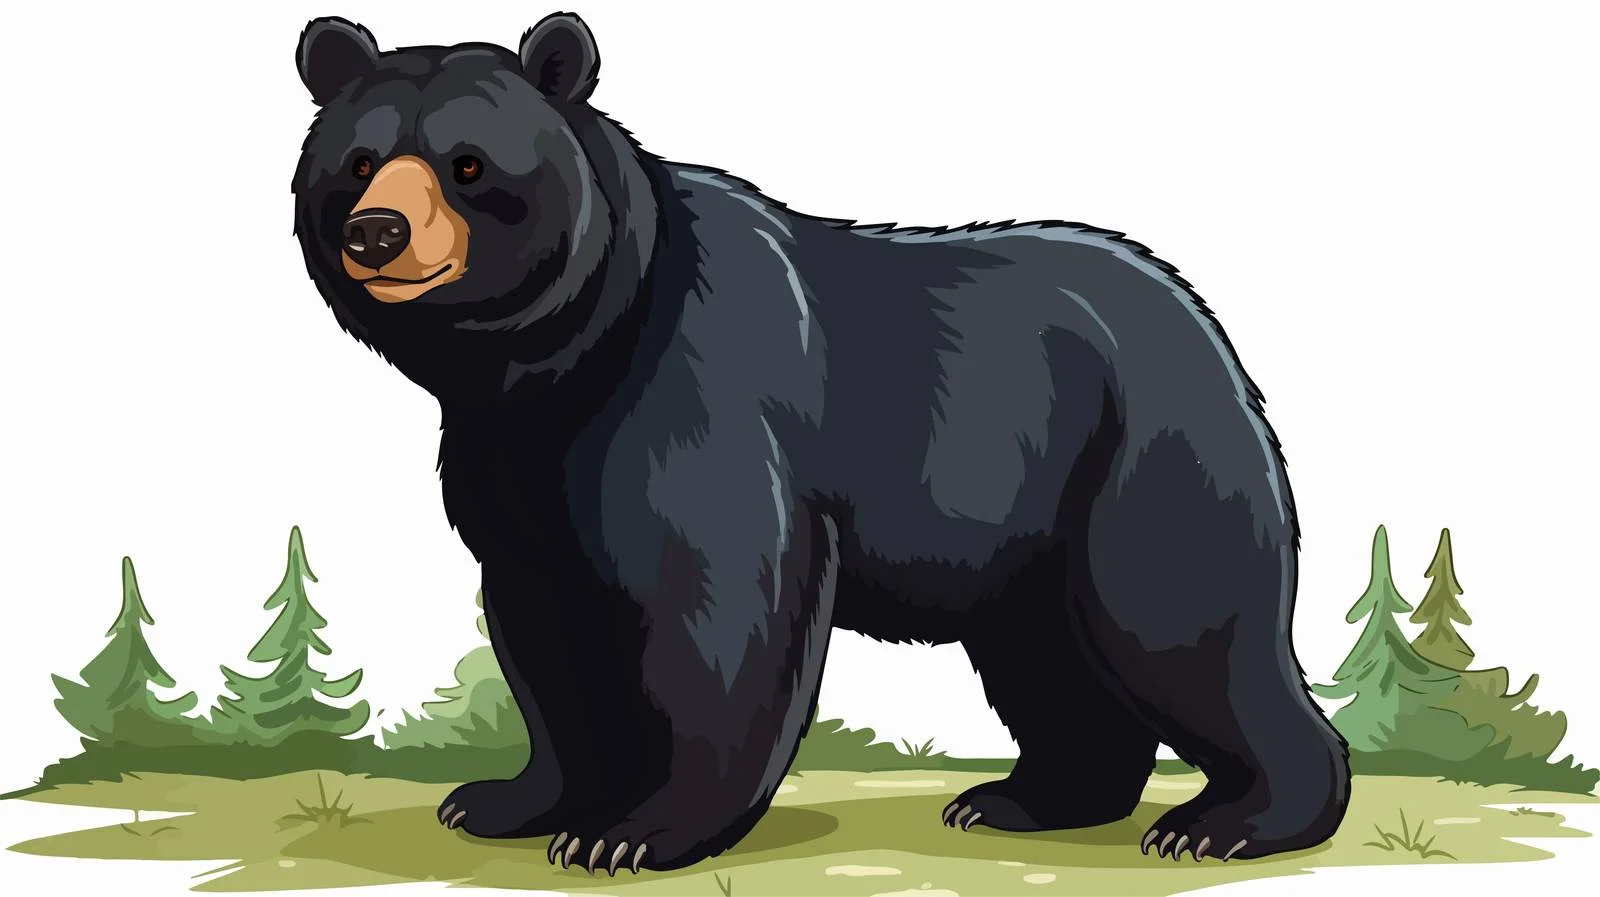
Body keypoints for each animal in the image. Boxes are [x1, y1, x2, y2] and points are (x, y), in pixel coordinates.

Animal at [291, 11, 1351, 874]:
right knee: (1047, 654)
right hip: (1030, 532)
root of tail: (1202, 319)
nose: (377, 231)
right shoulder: (509, 465)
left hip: (1147, 458)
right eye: (358, 162)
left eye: (468, 164)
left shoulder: (689, 404)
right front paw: (507, 798)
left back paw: (1231, 819)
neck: (556, 362)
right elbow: (542, 626)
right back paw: (1022, 799)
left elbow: (717, 606)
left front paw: (635, 830)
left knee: (1188, 624)